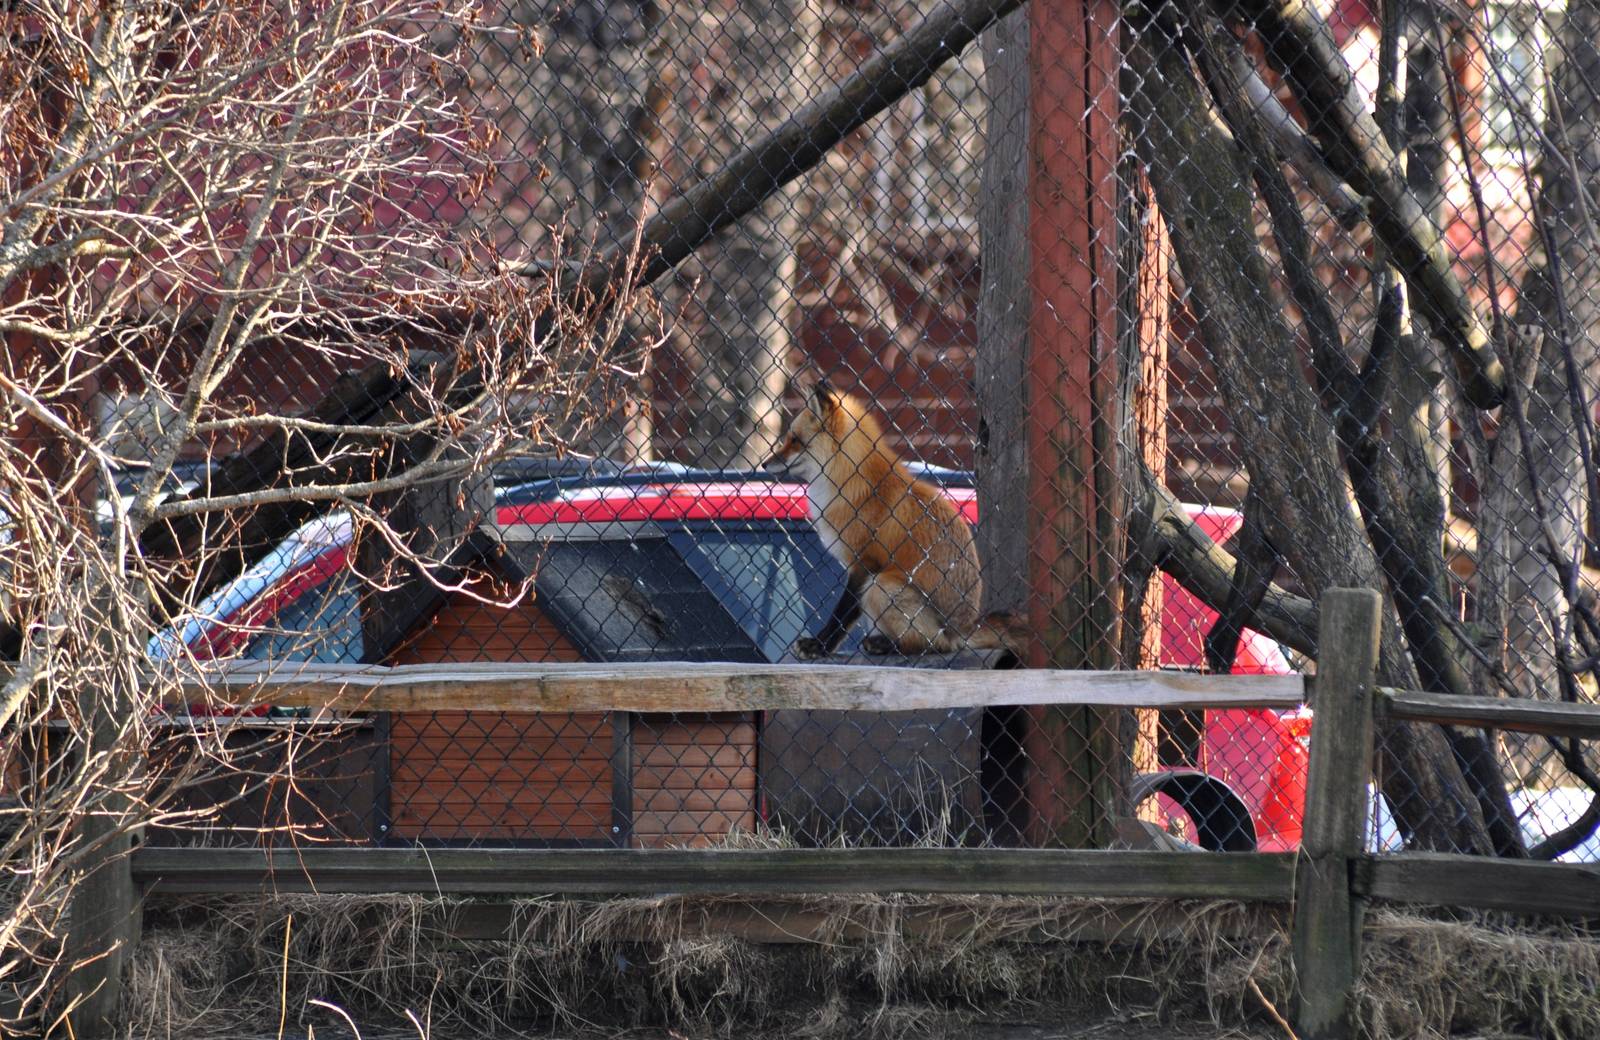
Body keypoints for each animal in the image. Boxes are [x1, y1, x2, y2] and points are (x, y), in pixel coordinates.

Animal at [764, 382, 1024, 659]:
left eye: (794, 440)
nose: (765, 463)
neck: (852, 480)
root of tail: (964, 630)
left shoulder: (865, 563)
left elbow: (841, 616)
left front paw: (819, 646)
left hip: (881, 585)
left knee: (932, 645)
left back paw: (889, 645)